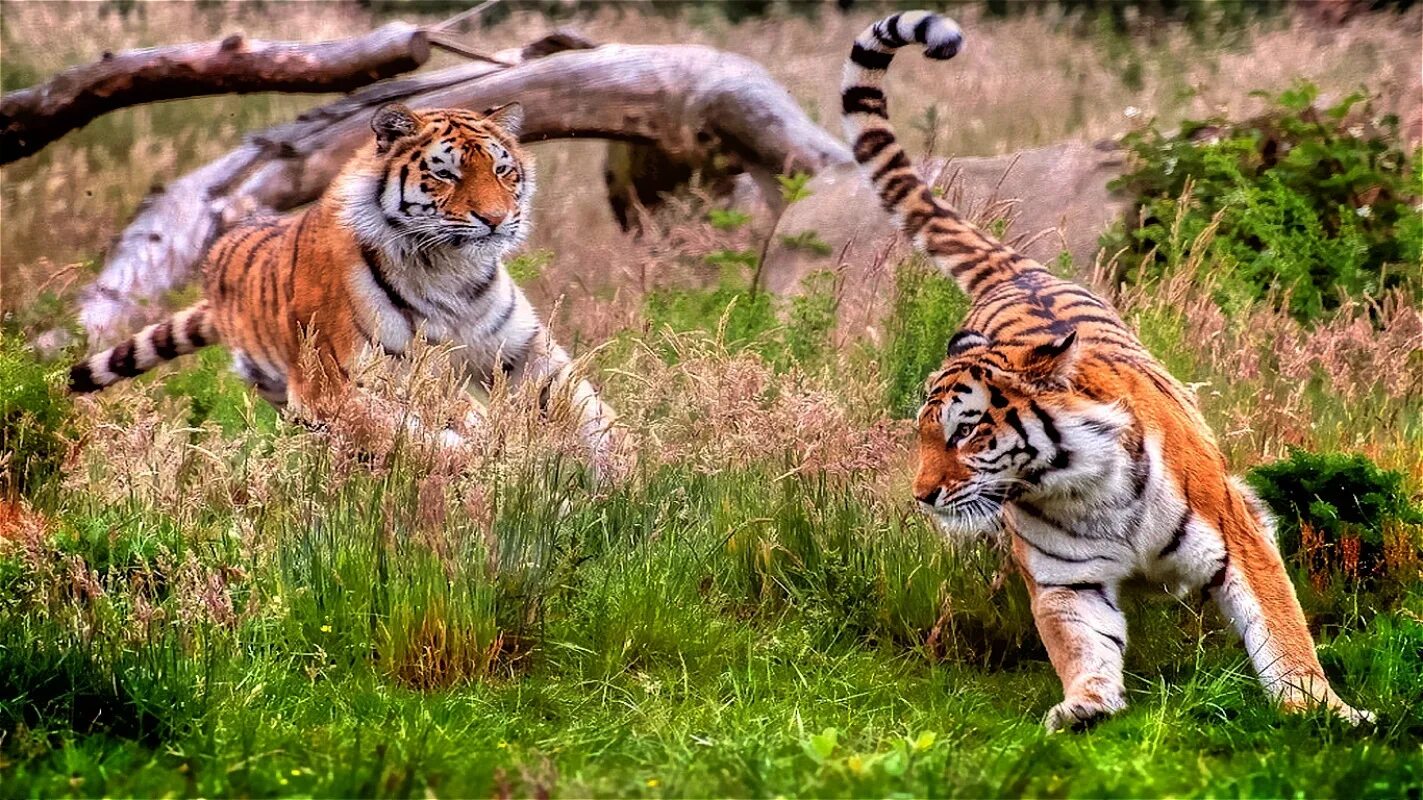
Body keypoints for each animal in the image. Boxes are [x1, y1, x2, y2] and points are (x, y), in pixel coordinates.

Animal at [69, 100, 617, 472]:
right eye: (446, 174)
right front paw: (479, 453)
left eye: (503, 169)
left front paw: (624, 481)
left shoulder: (525, 352)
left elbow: (591, 413)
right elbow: (400, 431)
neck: (451, 270)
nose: (497, 219)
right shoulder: (331, 386)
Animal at [836, 9, 1371, 728]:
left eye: (966, 432)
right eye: (923, 434)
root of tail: (1017, 272)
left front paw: (1322, 710)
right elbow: (1080, 640)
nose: (922, 495)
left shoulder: (1235, 538)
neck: (1079, 486)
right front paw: (1085, 705)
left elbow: (1282, 629)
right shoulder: (1067, 578)